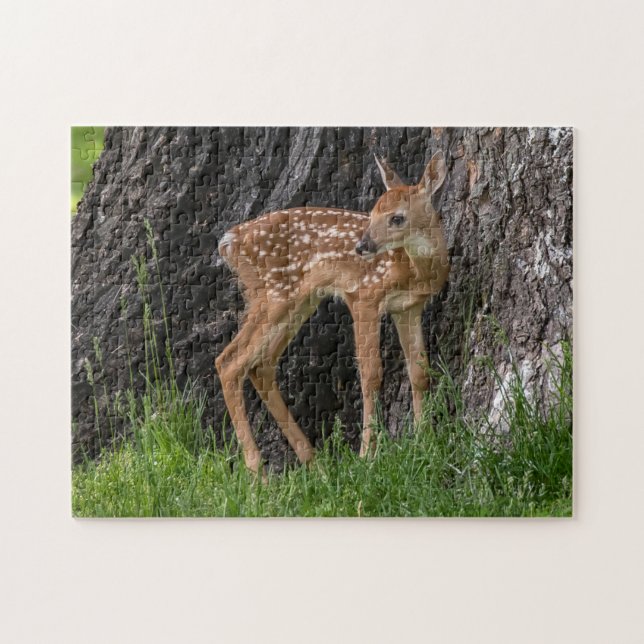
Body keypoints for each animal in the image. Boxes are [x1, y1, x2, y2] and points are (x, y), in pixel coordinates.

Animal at [215, 150, 450, 476]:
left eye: (397, 217)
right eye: (373, 211)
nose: (362, 246)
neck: (417, 272)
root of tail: (228, 243)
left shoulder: (409, 307)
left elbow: (419, 371)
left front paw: (424, 441)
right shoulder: (364, 295)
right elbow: (371, 374)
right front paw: (367, 455)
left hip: (298, 301)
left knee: (260, 365)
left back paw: (314, 464)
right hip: (273, 295)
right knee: (229, 361)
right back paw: (257, 471)